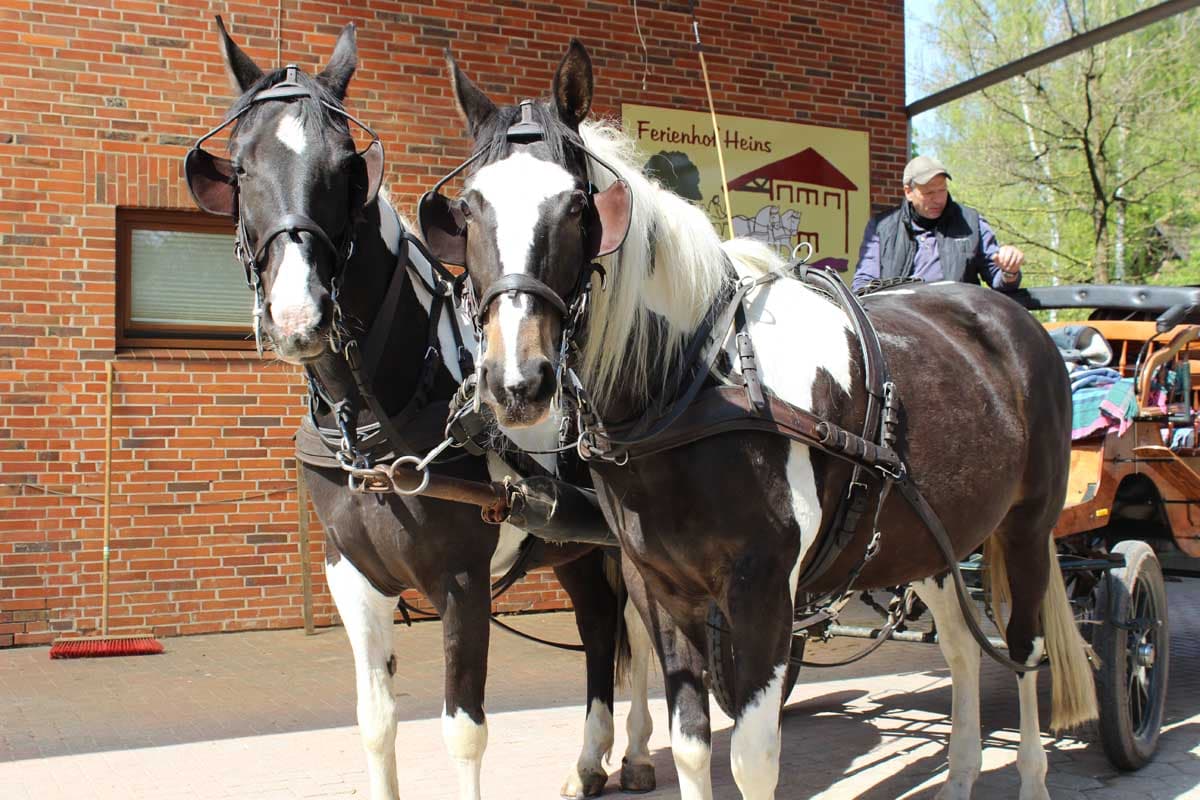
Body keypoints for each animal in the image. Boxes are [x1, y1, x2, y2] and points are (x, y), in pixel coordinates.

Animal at [186, 20, 657, 800]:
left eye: (347, 166)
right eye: (241, 166)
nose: (298, 315)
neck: (381, 416)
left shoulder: (461, 582)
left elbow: (463, 730)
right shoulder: (352, 575)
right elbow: (376, 723)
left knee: (643, 633)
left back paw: (642, 751)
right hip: (573, 542)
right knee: (597, 624)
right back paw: (593, 760)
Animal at [422, 42, 1099, 800]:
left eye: (575, 205)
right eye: (468, 210)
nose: (518, 382)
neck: (696, 387)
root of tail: (1010, 316)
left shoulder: (764, 591)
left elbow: (752, 758)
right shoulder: (664, 591)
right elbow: (692, 744)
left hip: (1027, 526)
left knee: (1024, 648)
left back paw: (1031, 774)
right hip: (934, 538)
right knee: (959, 646)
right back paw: (959, 775)